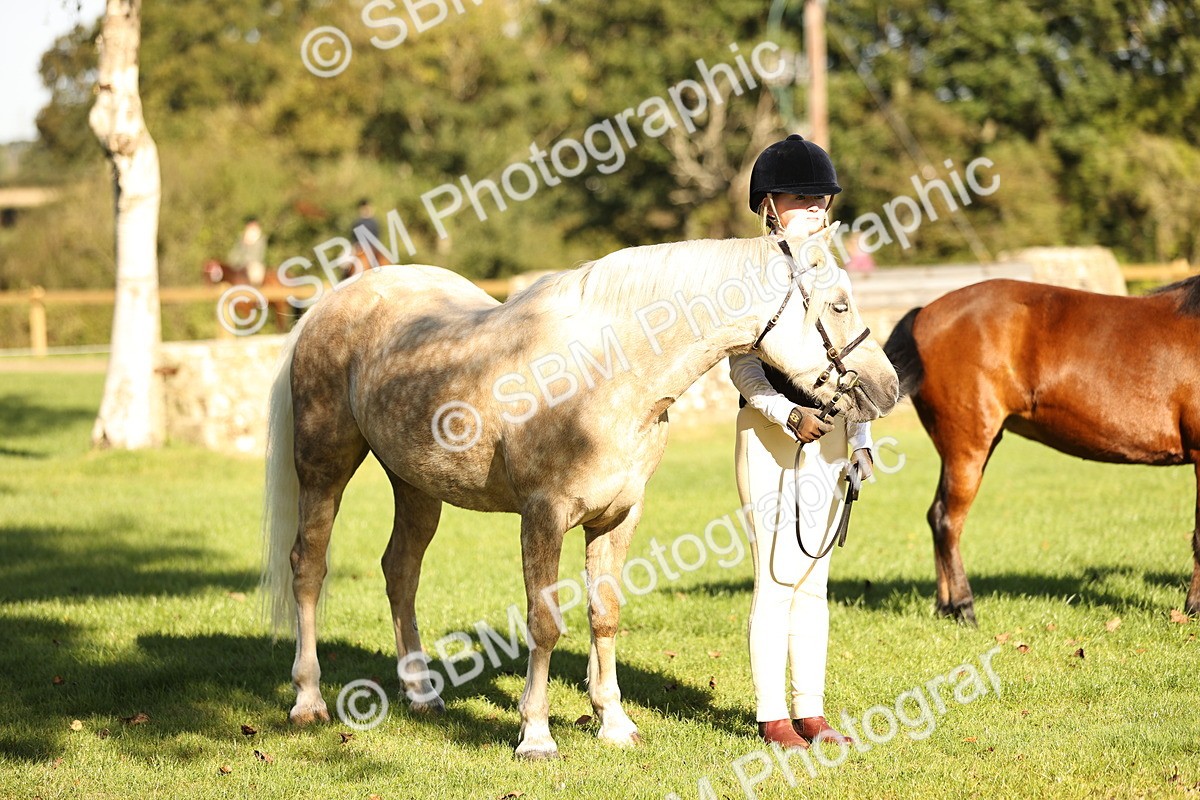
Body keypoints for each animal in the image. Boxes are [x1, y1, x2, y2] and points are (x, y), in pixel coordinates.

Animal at [260, 226, 900, 759]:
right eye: (839, 305)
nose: (886, 388)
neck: (606, 367)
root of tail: (329, 302)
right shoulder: (542, 516)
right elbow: (544, 623)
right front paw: (536, 736)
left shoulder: (617, 517)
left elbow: (604, 613)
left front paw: (613, 724)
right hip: (323, 468)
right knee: (308, 567)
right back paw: (308, 700)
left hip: (416, 486)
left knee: (400, 572)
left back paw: (420, 694)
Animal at [883, 277, 1200, 624]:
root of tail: (924, 314)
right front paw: (1194, 607)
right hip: (967, 449)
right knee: (947, 520)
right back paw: (964, 606)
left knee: (936, 515)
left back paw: (945, 606)